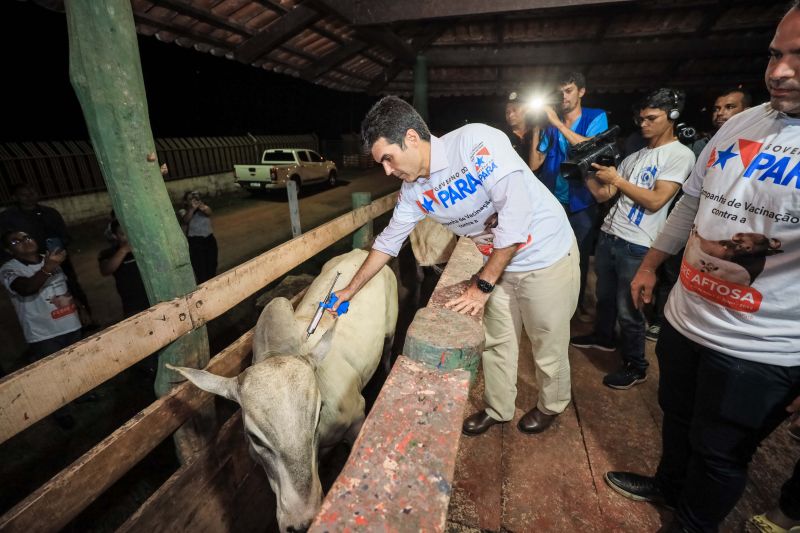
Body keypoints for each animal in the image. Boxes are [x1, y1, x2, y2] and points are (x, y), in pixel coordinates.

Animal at [169, 249, 396, 532]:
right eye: (255, 438)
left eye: (318, 415)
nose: (301, 523)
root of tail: (362, 251)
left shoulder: (356, 419)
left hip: (390, 329)